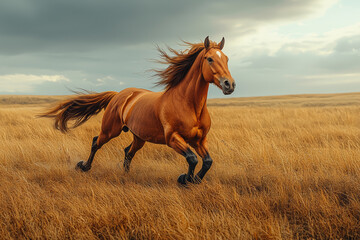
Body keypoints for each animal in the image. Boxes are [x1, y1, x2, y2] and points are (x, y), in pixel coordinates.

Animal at [40, 36, 236, 185]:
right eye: (209, 59)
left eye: (226, 59)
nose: (230, 85)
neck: (189, 105)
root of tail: (119, 94)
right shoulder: (173, 138)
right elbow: (192, 158)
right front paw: (184, 179)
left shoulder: (199, 140)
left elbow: (208, 161)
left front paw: (193, 180)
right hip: (111, 130)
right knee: (96, 142)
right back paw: (84, 166)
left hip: (139, 137)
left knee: (128, 151)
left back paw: (126, 174)